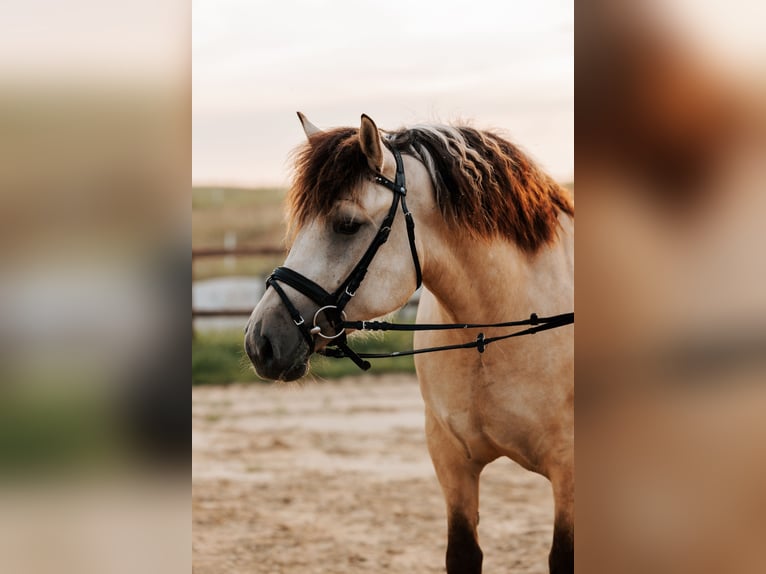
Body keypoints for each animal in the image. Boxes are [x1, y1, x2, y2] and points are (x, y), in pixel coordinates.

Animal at [246, 113, 576, 574]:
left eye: (346, 225)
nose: (261, 342)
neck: (492, 336)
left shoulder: (568, 473)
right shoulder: (451, 461)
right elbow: (462, 552)